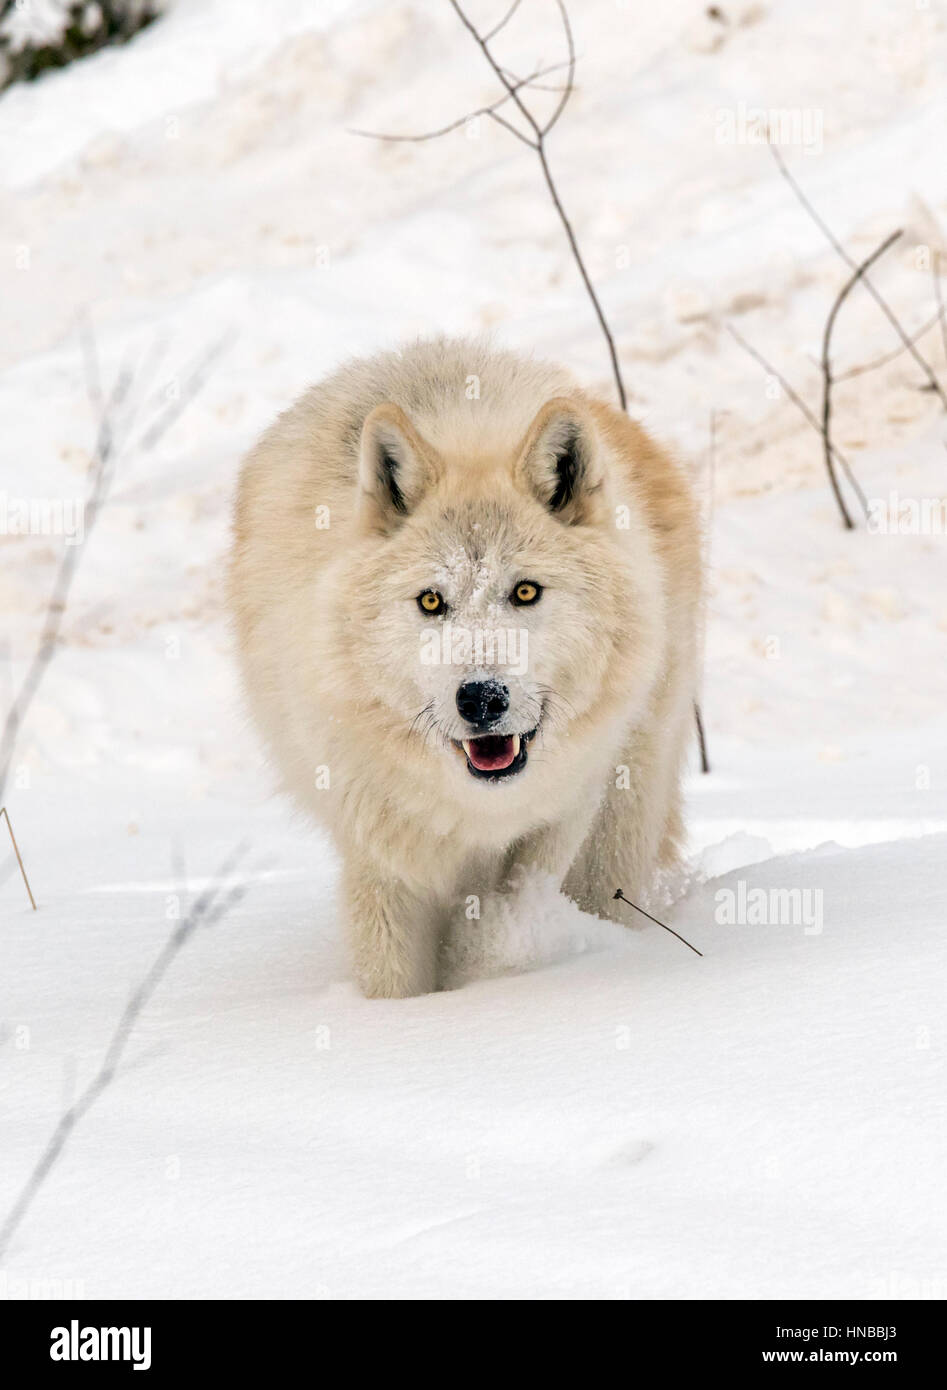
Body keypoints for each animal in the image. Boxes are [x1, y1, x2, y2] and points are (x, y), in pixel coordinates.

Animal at [230, 338, 702, 997]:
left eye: (525, 592)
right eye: (432, 601)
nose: (480, 698)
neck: (477, 808)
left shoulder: (565, 810)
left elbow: (506, 925)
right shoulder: (381, 852)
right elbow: (393, 974)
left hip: (626, 804)